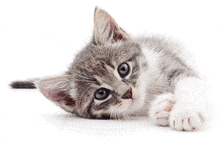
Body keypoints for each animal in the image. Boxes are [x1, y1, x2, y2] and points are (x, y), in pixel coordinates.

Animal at [10, 7, 206, 132]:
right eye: (101, 94)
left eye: (123, 69)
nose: (127, 93)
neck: (149, 92)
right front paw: (161, 108)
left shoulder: (170, 61)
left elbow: (191, 84)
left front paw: (185, 112)